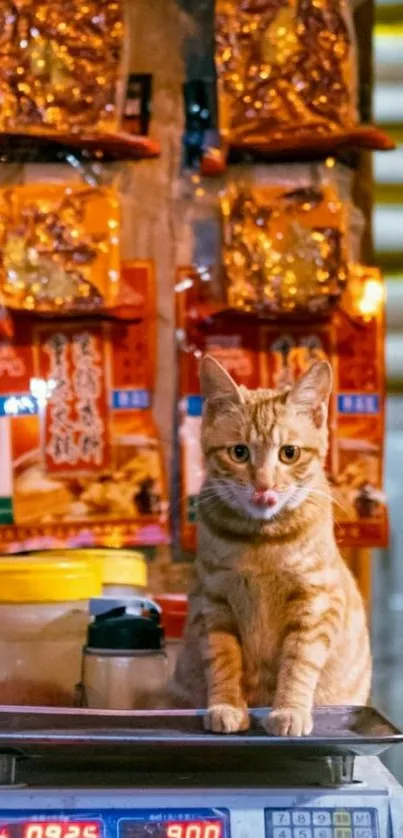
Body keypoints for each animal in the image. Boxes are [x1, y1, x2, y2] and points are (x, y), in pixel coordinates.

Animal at [170, 358, 372, 740]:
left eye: (289, 453)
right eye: (239, 452)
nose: (264, 485)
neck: (261, 541)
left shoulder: (315, 604)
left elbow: (298, 663)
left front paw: (289, 710)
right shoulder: (213, 603)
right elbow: (222, 660)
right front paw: (227, 707)